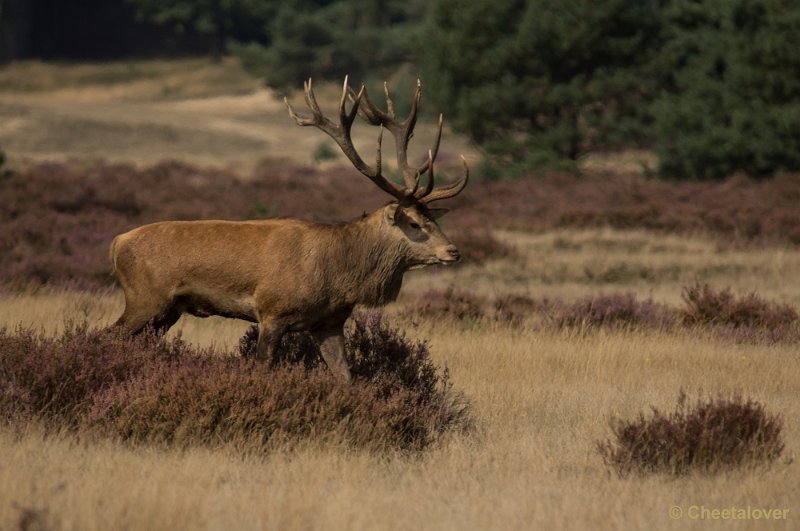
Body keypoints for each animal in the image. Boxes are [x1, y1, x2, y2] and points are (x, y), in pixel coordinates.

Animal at [108, 77, 468, 380]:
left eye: (435, 218)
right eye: (414, 222)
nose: (453, 251)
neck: (337, 275)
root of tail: (117, 241)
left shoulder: (329, 322)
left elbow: (345, 376)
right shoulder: (272, 311)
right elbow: (262, 366)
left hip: (167, 311)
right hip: (145, 299)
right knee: (107, 335)